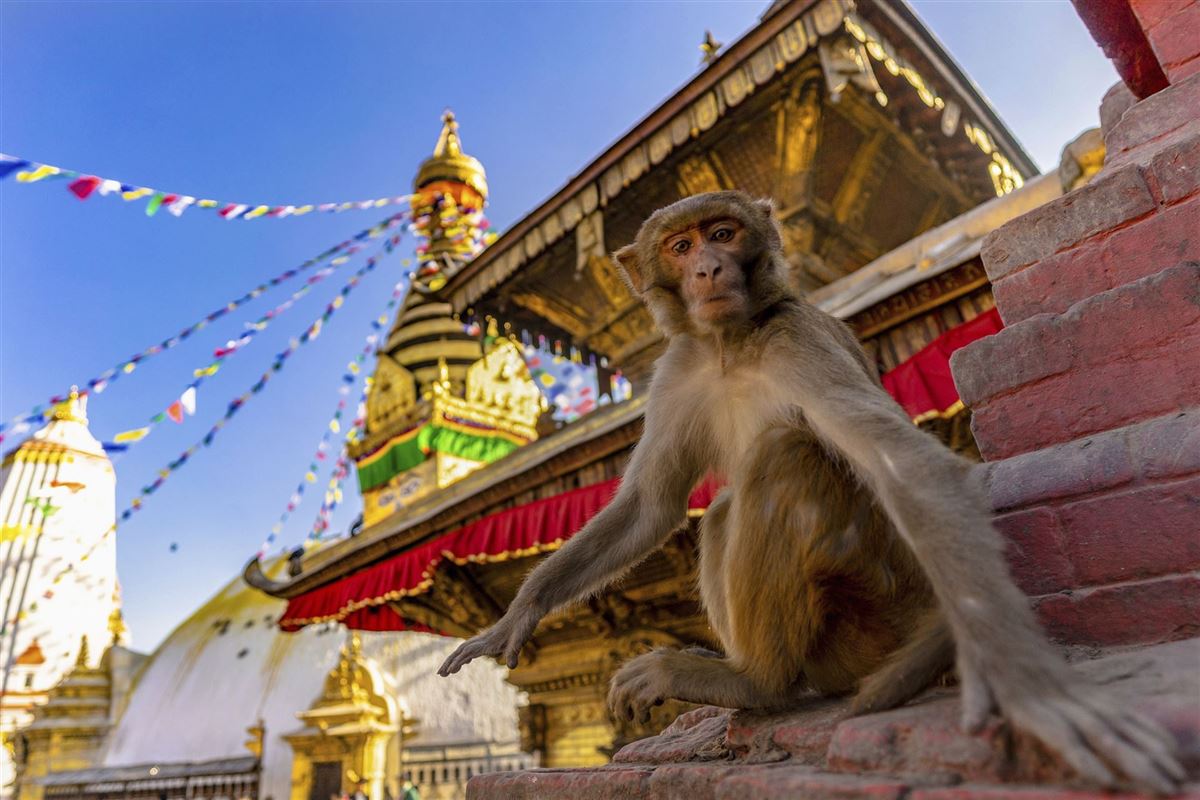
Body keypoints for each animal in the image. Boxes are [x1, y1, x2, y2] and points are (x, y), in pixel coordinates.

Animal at [438, 191, 1182, 794]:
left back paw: (756, 681)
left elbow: (902, 465)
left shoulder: (799, 341)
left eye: (722, 233)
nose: (708, 269)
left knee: (783, 456)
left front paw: (1027, 685)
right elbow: (651, 505)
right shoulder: (677, 370)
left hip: (871, 614)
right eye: (680, 246)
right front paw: (518, 614)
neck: (731, 344)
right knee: (724, 508)